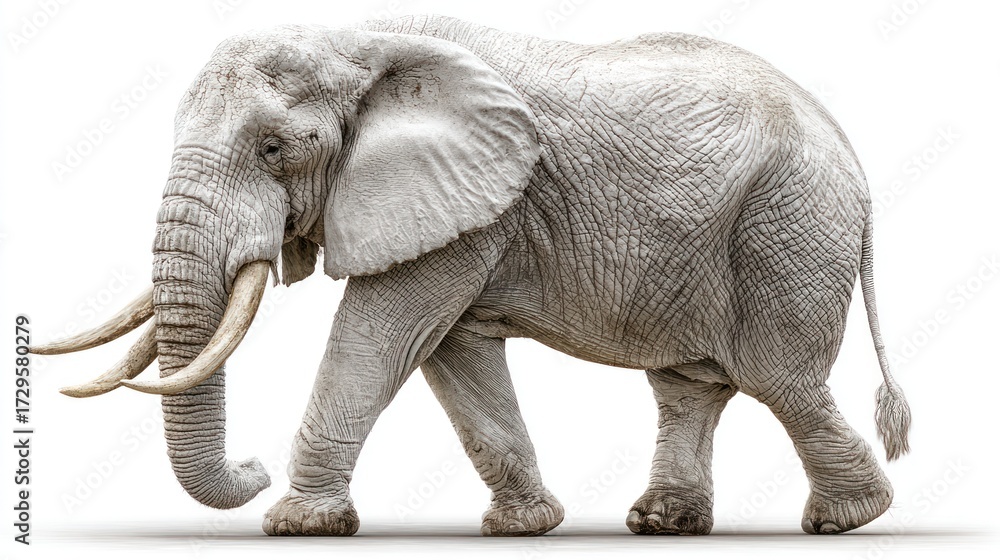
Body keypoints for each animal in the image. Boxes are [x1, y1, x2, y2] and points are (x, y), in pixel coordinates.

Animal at [32, 14, 911, 537]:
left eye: (275, 149)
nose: (249, 467)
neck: (358, 41)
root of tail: (852, 151)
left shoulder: (466, 208)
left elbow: (379, 335)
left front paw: (297, 524)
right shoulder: (462, 214)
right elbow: (451, 354)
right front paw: (524, 528)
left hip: (787, 227)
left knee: (780, 378)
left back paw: (847, 519)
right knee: (689, 384)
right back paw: (665, 522)